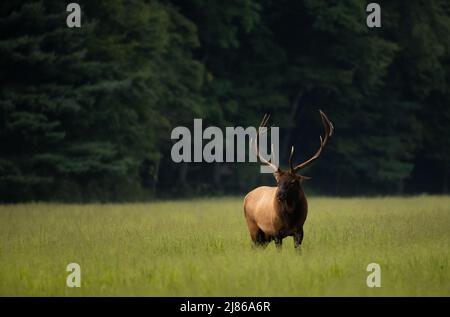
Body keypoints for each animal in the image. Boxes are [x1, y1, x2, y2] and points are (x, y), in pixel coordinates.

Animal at [244, 110, 332, 248]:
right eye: (277, 181)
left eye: (292, 181)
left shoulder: (299, 231)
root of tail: (246, 196)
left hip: (265, 237)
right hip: (253, 227)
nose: (279, 195)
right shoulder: (275, 232)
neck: (290, 220)